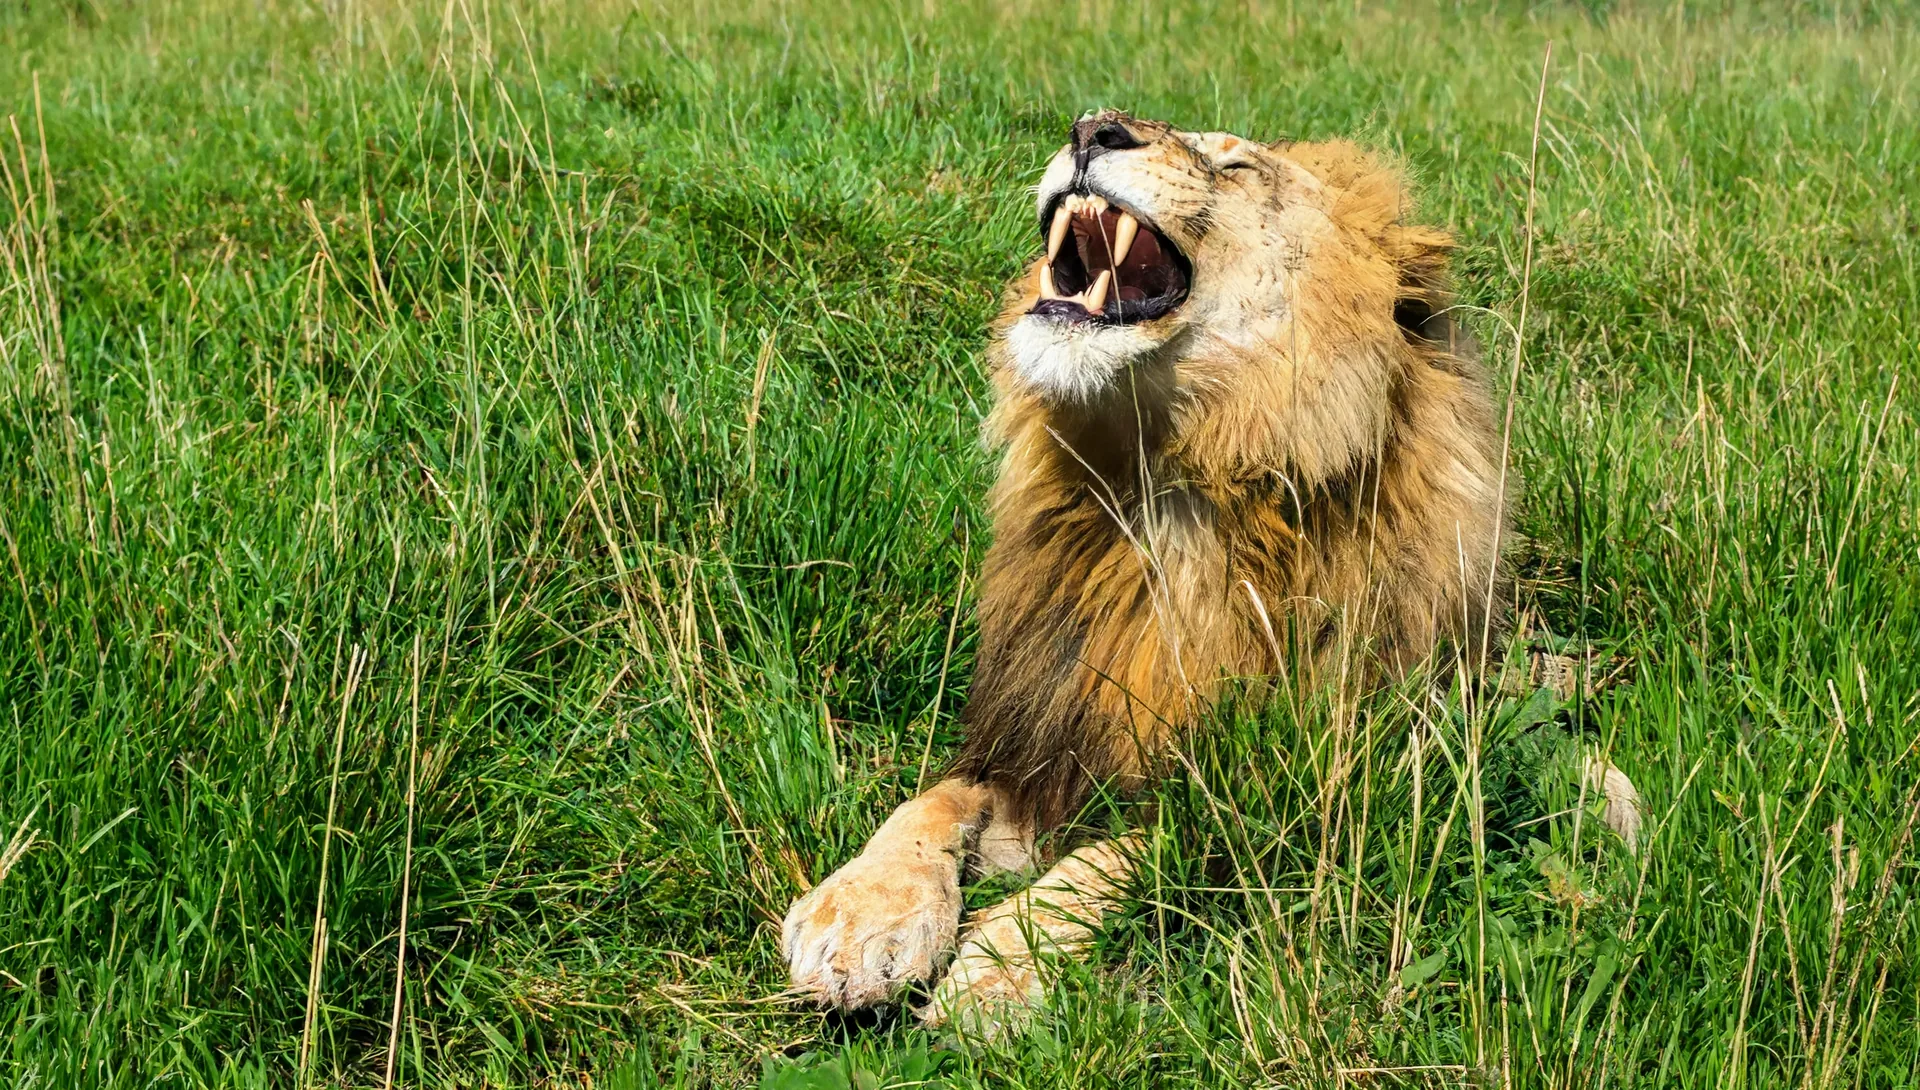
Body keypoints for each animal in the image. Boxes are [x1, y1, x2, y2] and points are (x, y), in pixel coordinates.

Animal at [779, 111, 1639, 1032]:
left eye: (1236, 164)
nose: (1092, 128)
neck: (1163, 481)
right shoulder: (1031, 731)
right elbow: (928, 801)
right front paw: (859, 919)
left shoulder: (1282, 792)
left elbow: (1125, 853)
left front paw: (1001, 966)